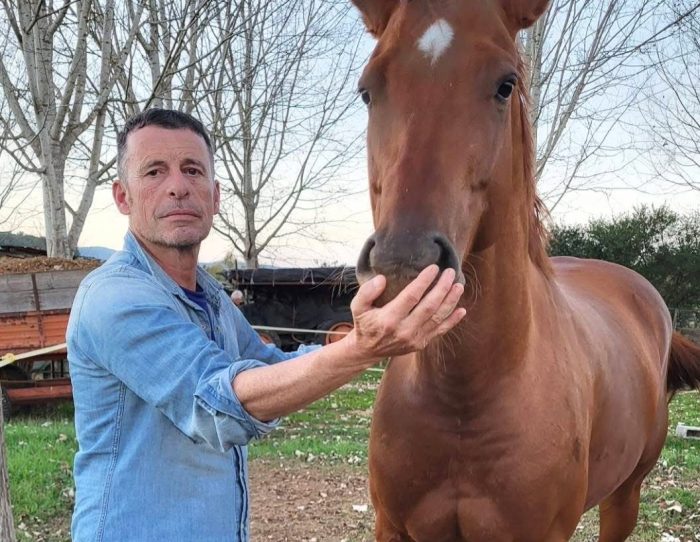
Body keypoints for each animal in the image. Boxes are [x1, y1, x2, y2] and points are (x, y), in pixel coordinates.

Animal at [350, 1, 700, 540]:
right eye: (368, 89)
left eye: (505, 85)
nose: (405, 264)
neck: (465, 400)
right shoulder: (392, 528)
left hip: (625, 496)